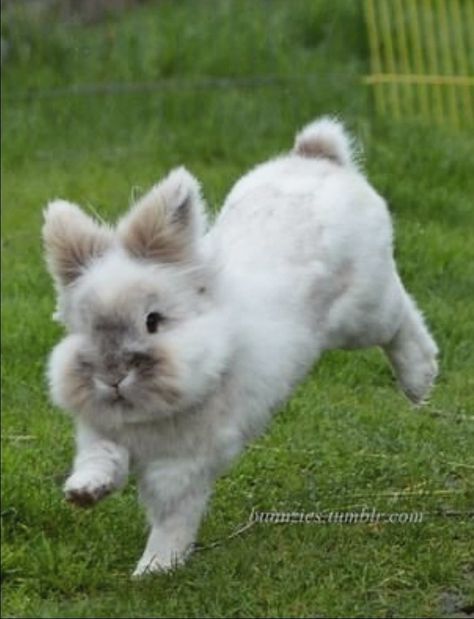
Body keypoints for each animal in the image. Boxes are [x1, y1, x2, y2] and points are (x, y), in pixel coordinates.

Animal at [43, 118, 436, 580]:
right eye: (84, 327)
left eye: (153, 321)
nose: (113, 377)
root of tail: (318, 156)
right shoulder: (101, 435)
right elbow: (101, 460)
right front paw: (83, 493)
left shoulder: (183, 467)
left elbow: (171, 516)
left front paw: (154, 568)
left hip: (364, 311)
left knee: (401, 316)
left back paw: (420, 379)